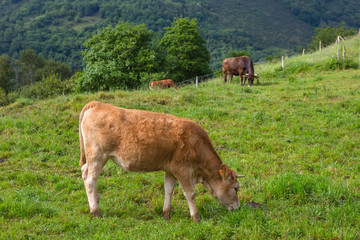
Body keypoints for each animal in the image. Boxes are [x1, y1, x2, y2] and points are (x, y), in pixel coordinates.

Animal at [79, 101, 245, 221]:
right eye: (236, 188)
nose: (238, 207)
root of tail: (97, 103)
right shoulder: (183, 170)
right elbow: (190, 193)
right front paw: (195, 216)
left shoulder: (170, 170)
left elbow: (168, 190)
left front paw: (166, 213)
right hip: (97, 156)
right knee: (90, 179)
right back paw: (95, 211)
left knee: (84, 172)